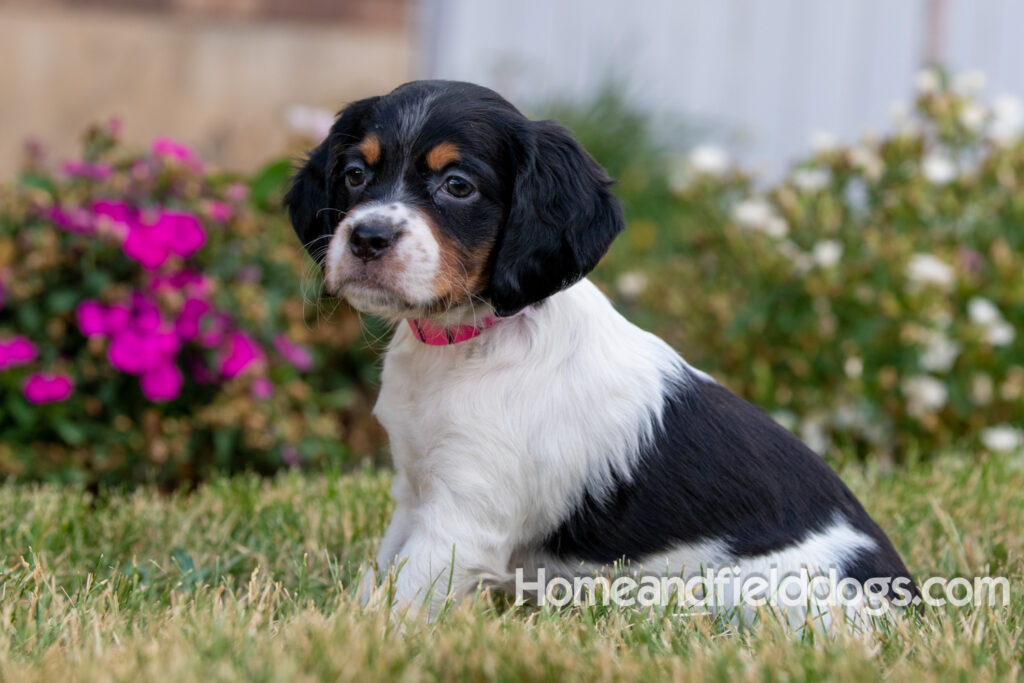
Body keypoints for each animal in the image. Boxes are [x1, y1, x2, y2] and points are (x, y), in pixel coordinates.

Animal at [288, 81, 921, 630]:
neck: (471, 342)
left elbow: (400, 598)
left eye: (458, 186)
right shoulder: (413, 492)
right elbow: (379, 575)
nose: (366, 237)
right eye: (354, 174)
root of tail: (905, 596)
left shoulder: (462, 520)